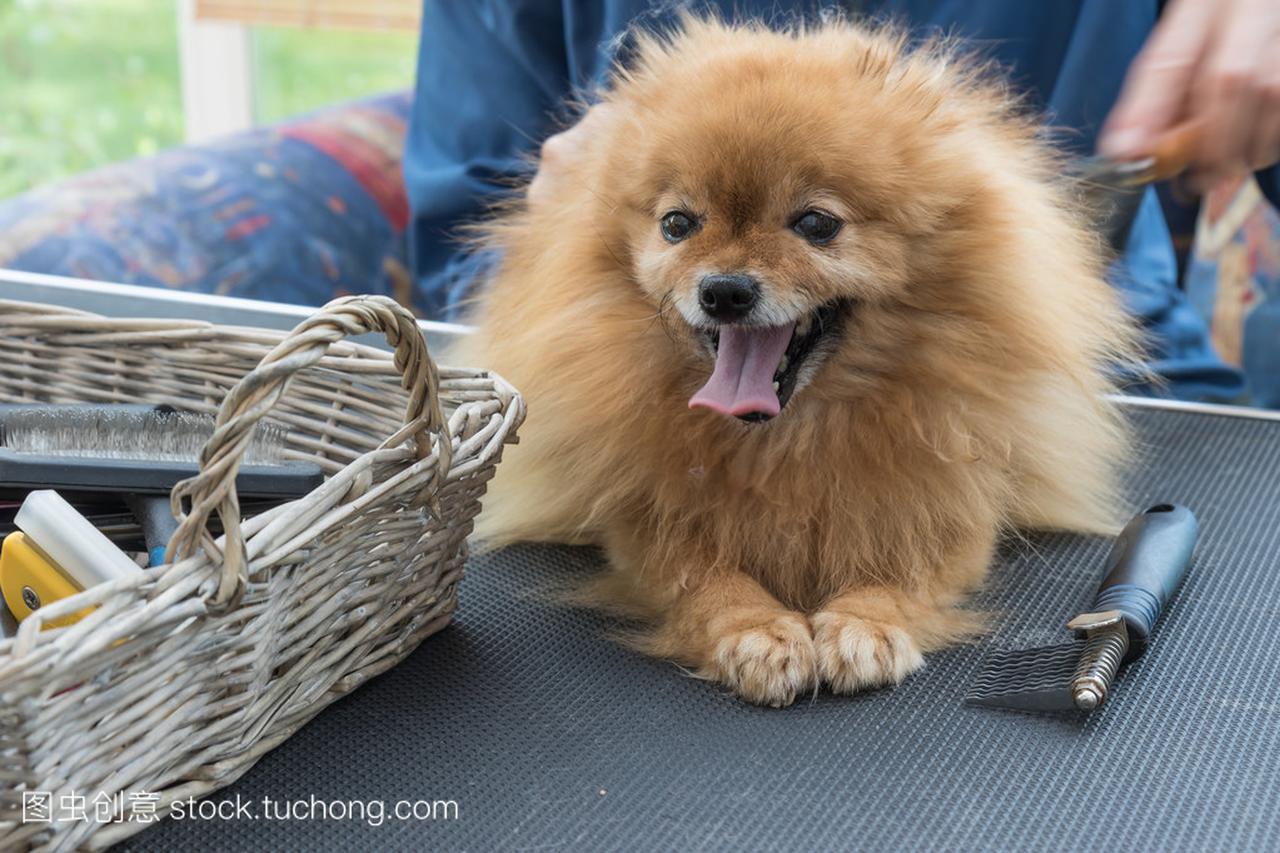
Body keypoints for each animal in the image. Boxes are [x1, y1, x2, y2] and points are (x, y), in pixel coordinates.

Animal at [455, 14, 1136, 701]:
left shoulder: (956, 507)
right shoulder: (641, 518)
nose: (724, 290)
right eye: (677, 224)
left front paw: (868, 620)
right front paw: (754, 629)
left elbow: (909, 562)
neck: (787, 439)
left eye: (816, 224)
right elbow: (697, 571)